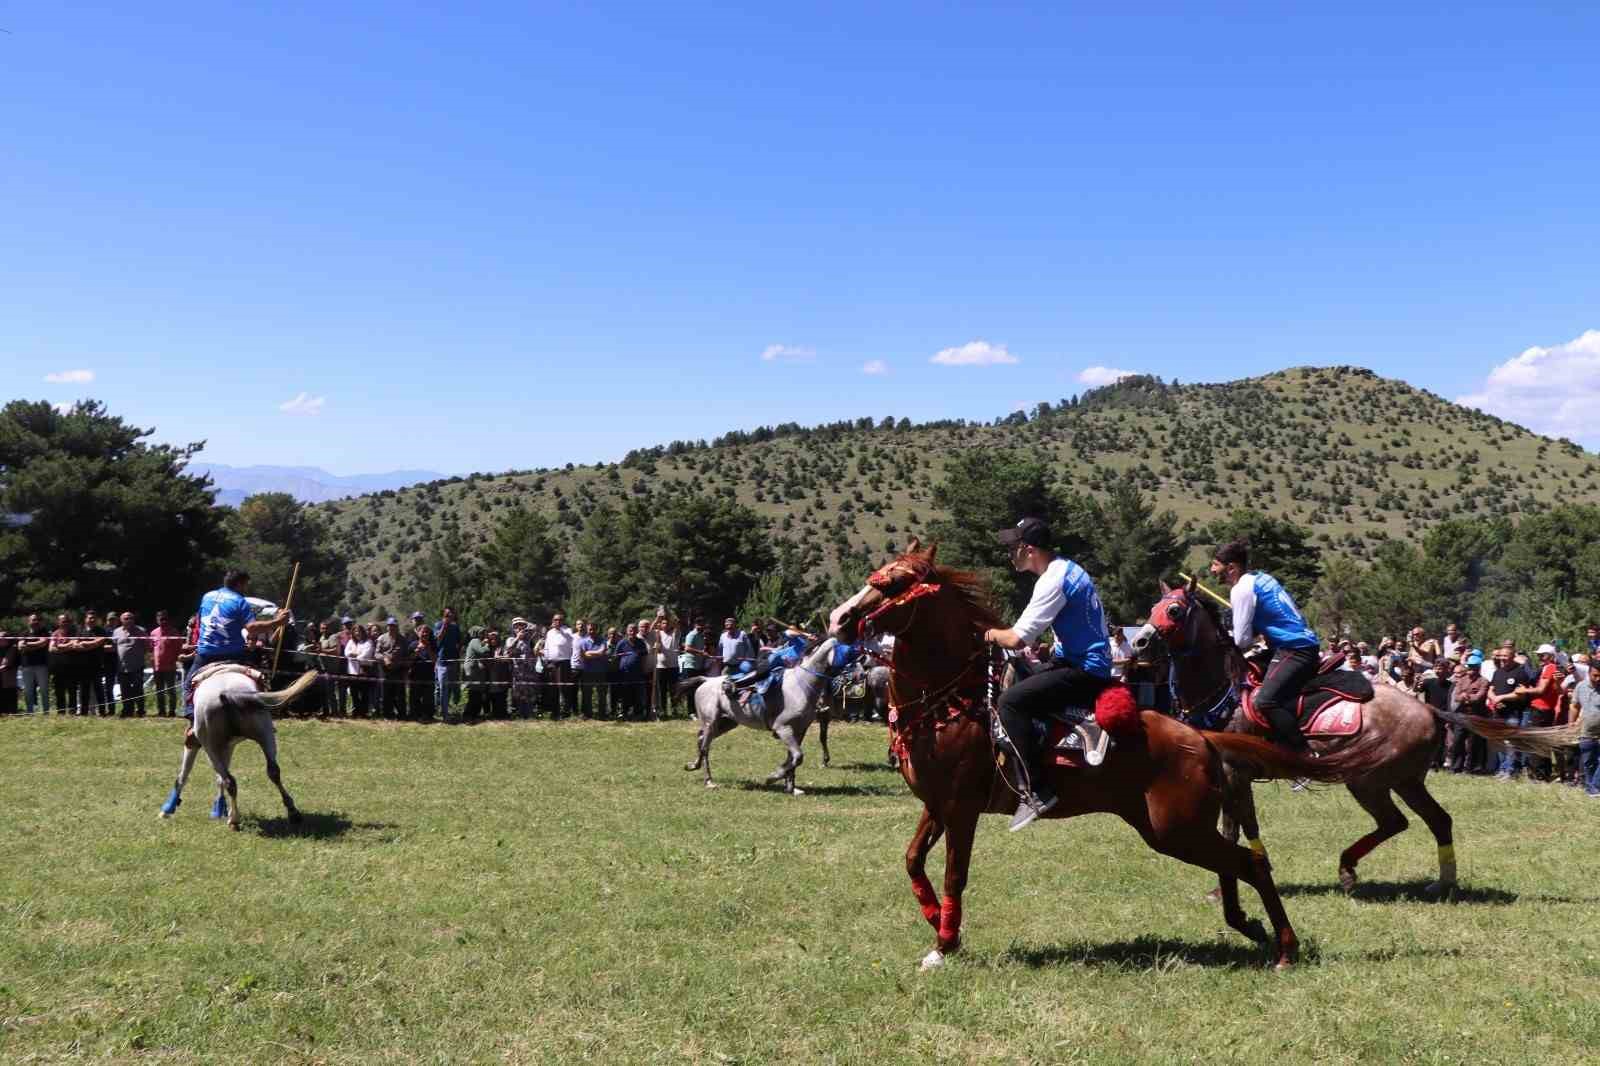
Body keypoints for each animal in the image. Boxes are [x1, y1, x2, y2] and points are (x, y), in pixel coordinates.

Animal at [159, 665, 315, 832]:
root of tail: (226, 693)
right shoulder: (228, 745)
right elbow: (218, 778)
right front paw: (219, 809)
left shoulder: (194, 742)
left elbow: (184, 774)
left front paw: (167, 809)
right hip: (265, 734)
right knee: (273, 771)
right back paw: (293, 813)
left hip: (210, 746)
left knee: (230, 780)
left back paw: (234, 820)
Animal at [675, 633, 851, 793]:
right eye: (845, 650)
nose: (850, 676)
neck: (802, 684)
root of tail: (706, 680)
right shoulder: (783, 729)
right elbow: (798, 756)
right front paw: (774, 776)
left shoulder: (799, 731)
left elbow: (793, 758)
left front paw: (791, 787)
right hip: (711, 722)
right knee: (705, 747)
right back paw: (709, 781)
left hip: (725, 723)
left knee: (701, 739)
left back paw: (693, 765)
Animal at [832, 544, 1395, 966]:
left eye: (896, 582)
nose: (840, 618)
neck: (954, 701)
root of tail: (1200, 739)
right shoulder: (937, 805)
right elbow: (912, 861)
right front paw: (937, 923)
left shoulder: (963, 809)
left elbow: (954, 874)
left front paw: (945, 943)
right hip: (1174, 827)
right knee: (1241, 860)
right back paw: (1254, 929)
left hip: (1175, 829)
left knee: (1250, 862)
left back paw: (1283, 946)